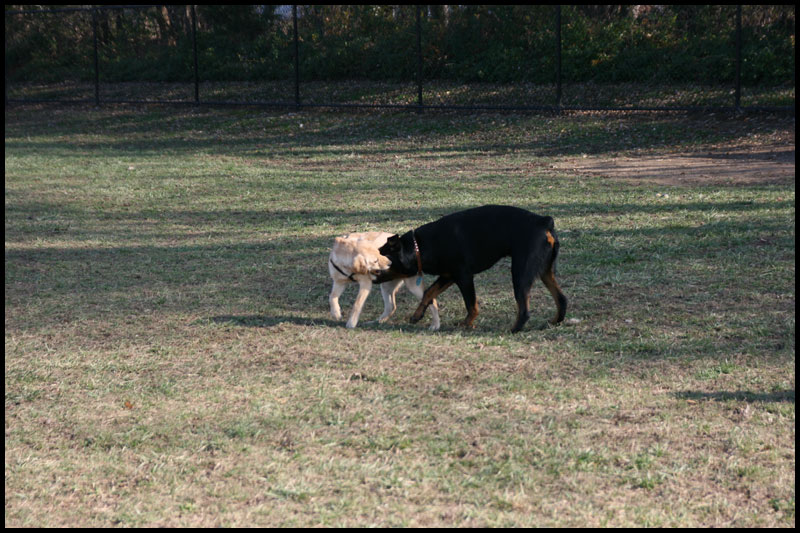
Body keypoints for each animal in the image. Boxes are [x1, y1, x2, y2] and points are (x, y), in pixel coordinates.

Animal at [378, 205, 564, 332]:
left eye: (386, 262)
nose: (376, 277)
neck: (419, 247)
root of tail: (544, 221)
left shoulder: (464, 277)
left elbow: (471, 306)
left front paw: (466, 324)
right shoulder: (448, 276)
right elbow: (429, 293)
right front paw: (417, 315)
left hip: (520, 273)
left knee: (524, 310)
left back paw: (512, 330)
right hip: (545, 270)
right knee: (562, 298)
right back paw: (555, 321)